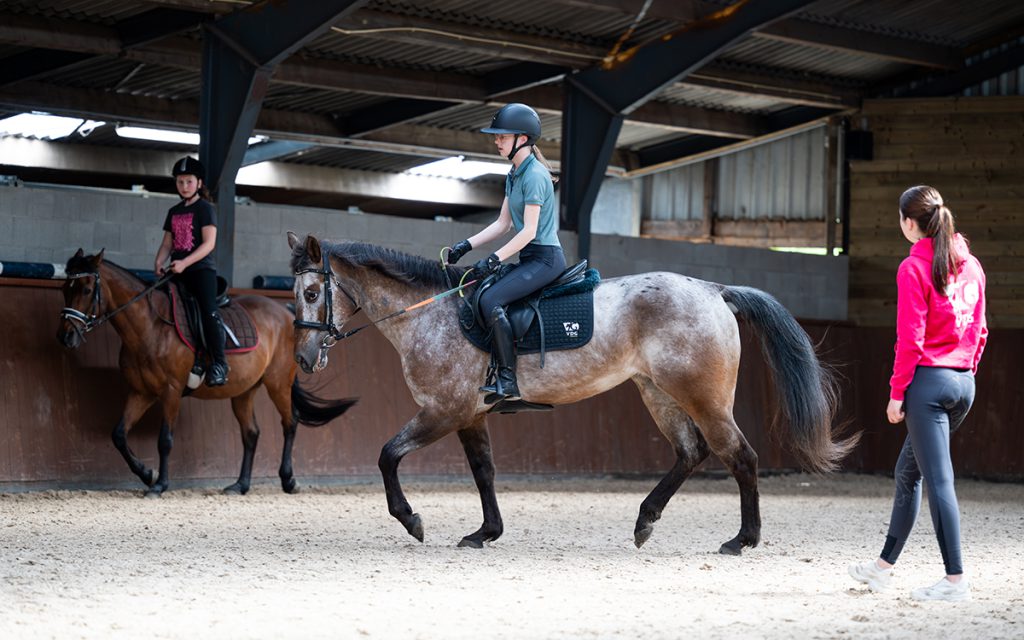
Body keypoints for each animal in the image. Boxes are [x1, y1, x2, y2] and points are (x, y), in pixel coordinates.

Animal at [59, 248, 358, 493]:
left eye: (86, 289)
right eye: (64, 288)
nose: (66, 337)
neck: (150, 327)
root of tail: (285, 312)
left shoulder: (171, 391)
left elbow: (165, 439)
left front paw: (160, 484)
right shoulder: (141, 392)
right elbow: (119, 435)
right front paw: (146, 474)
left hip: (278, 383)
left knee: (290, 423)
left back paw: (288, 480)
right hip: (244, 390)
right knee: (251, 433)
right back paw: (240, 485)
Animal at [288, 232, 856, 552]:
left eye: (313, 292)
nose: (304, 360)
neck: (431, 313)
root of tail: (714, 290)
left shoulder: (442, 411)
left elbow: (387, 455)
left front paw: (412, 522)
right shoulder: (470, 415)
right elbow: (483, 471)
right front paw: (485, 533)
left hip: (703, 397)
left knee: (739, 455)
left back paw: (743, 540)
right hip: (659, 393)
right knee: (691, 452)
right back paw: (645, 521)